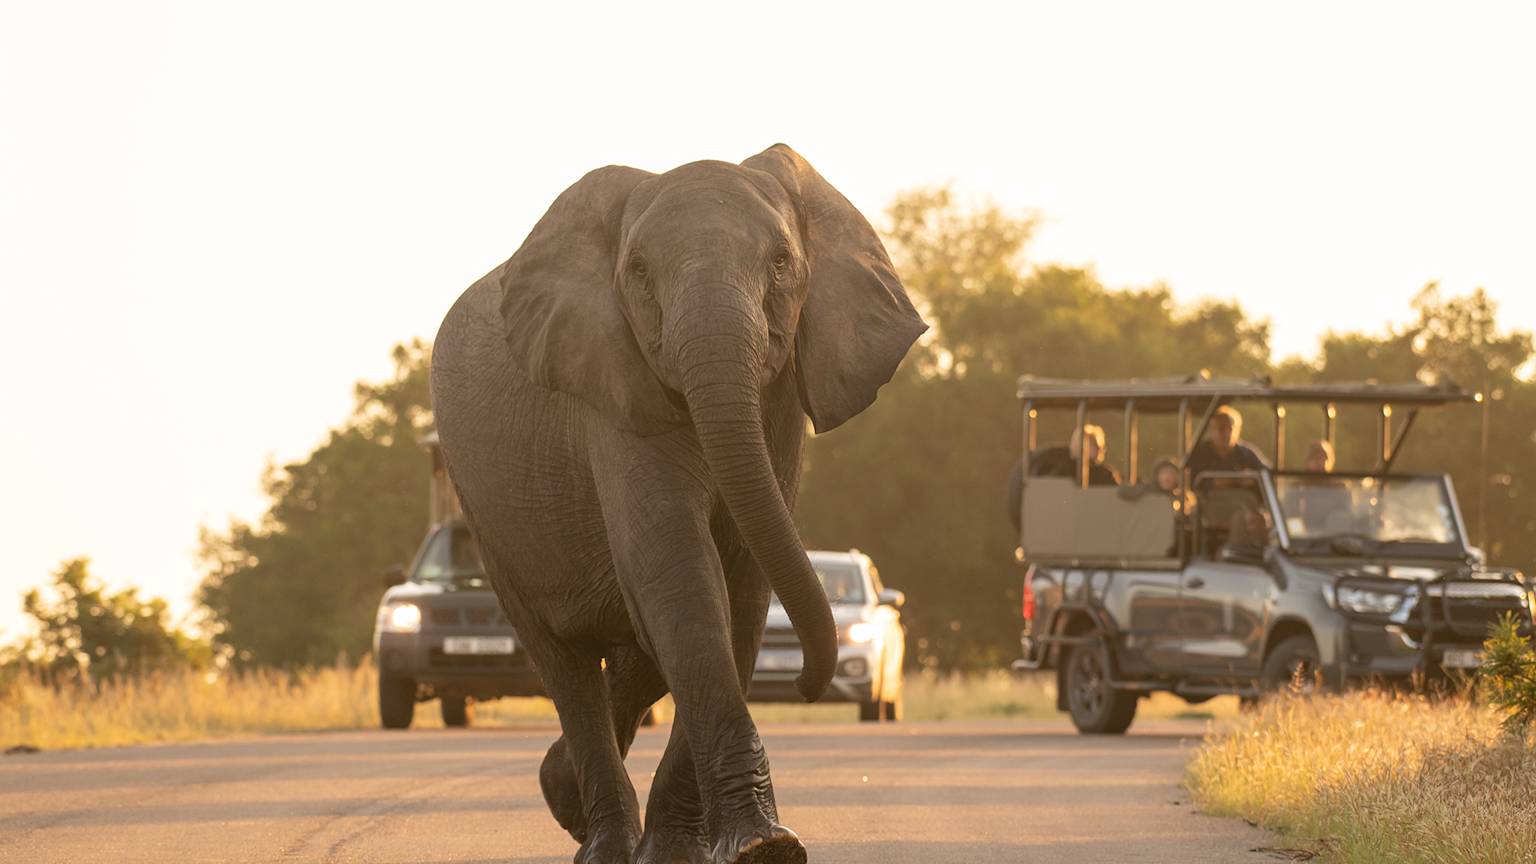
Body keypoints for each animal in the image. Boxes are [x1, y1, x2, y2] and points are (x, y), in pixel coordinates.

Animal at [429, 144, 926, 864]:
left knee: (635, 657)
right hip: (487, 515)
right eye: (638, 271)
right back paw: (600, 843)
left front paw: (719, 849)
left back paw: (564, 797)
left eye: (781, 262)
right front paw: (764, 848)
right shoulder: (610, 386)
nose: (805, 684)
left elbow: (740, 587)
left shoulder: (779, 400)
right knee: (565, 663)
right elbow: (681, 574)